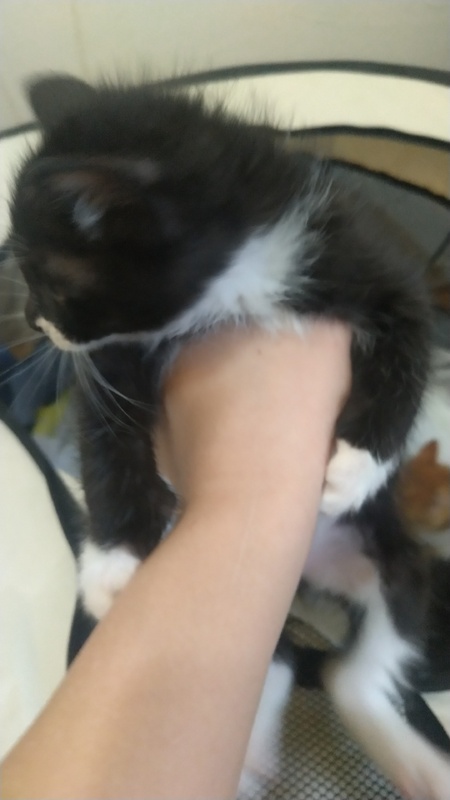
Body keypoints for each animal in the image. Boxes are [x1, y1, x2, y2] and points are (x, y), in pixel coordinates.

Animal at [7, 73, 450, 798]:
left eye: (47, 279)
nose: (34, 321)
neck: (237, 281)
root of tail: (310, 579)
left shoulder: (363, 255)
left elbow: (410, 344)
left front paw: (357, 464)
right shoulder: (117, 358)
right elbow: (106, 439)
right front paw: (111, 565)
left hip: (391, 566)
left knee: (355, 667)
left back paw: (417, 765)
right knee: (298, 662)